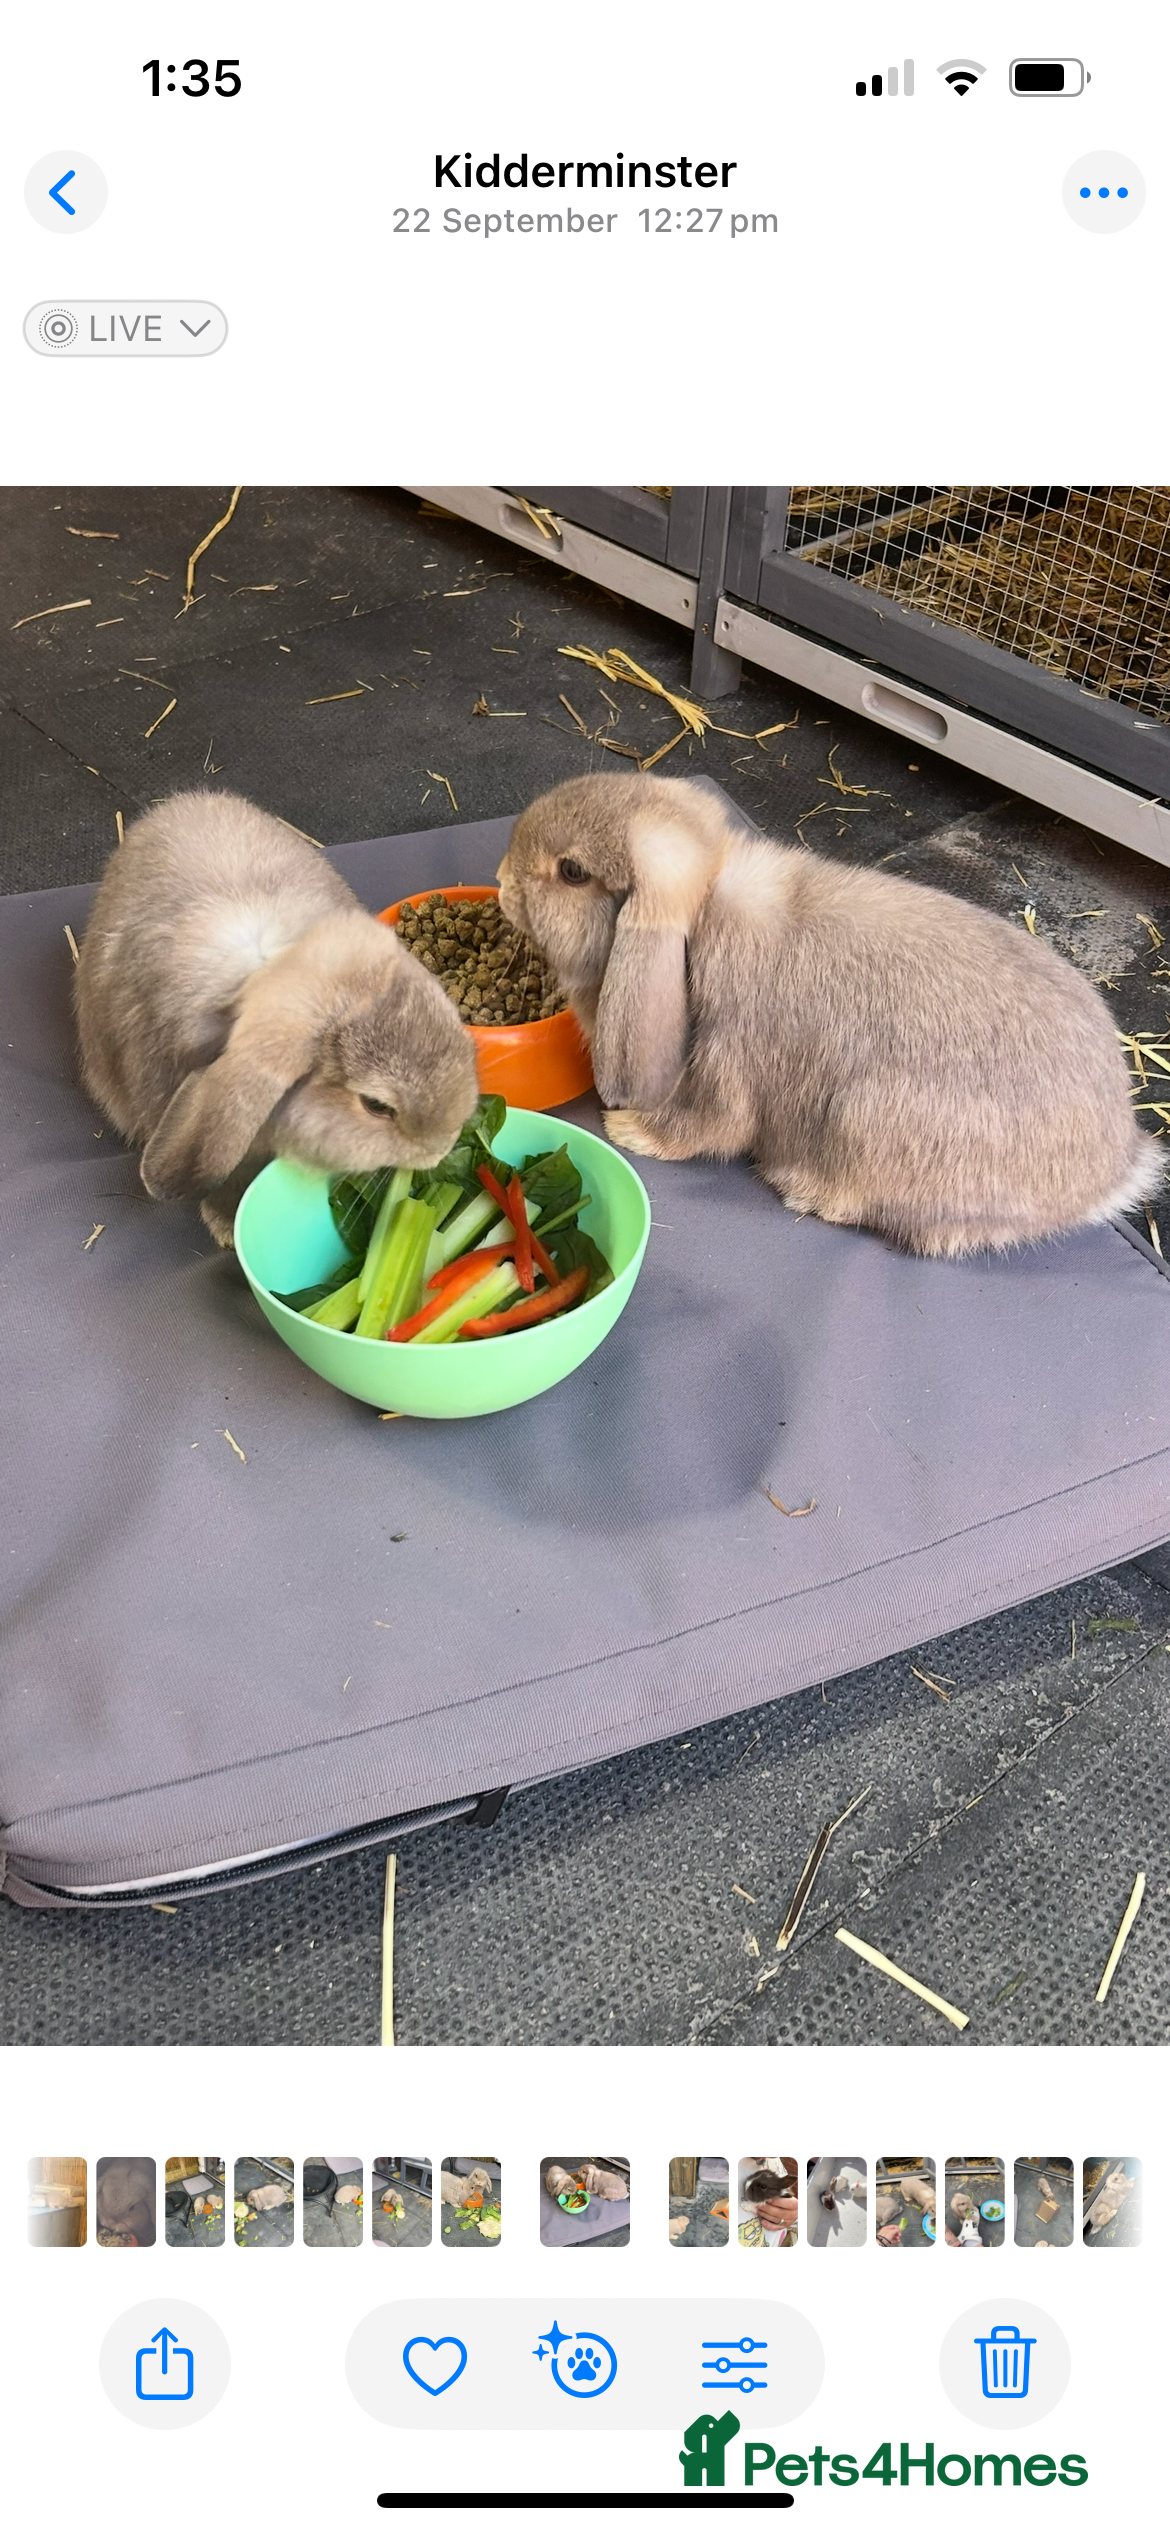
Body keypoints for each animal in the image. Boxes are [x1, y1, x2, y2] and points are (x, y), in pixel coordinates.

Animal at [498, 771, 1163, 1258]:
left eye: (572, 872)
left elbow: (707, 1127)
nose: (502, 881)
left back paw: (803, 1188)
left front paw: (630, 1131)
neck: (702, 916)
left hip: (865, 1117)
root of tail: (1114, 1169)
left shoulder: (726, 1064)